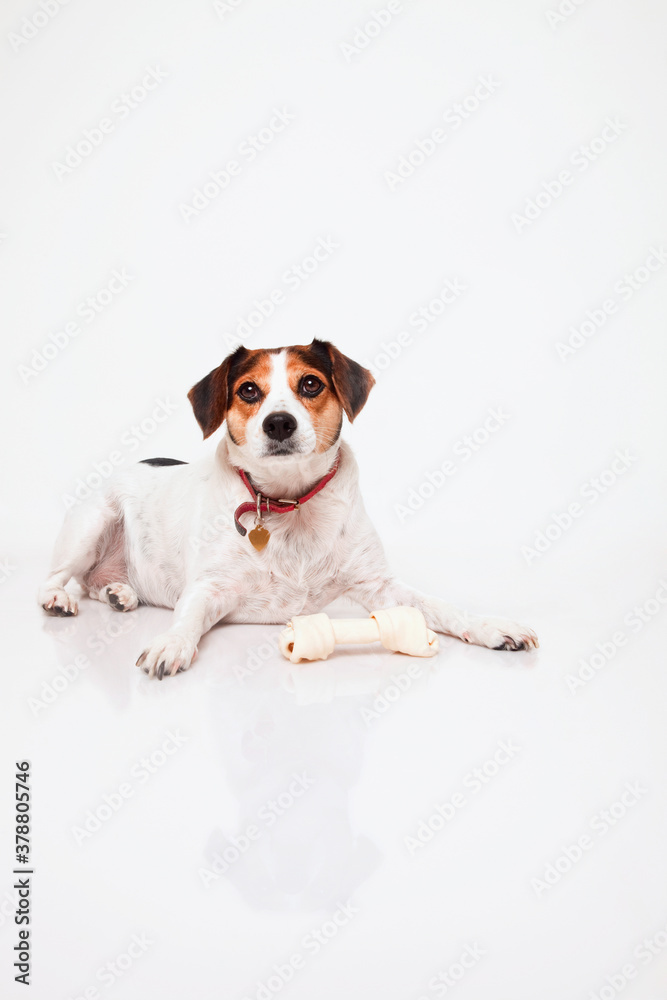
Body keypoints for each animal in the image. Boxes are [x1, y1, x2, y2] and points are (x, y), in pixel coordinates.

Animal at [37, 342, 536, 680]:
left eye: (310, 383)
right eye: (248, 391)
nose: (279, 423)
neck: (289, 501)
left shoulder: (381, 586)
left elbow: (443, 607)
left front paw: (492, 626)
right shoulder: (208, 589)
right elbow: (186, 619)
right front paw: (171, 644)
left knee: (94, 583)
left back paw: (118, 592)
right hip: (92, 522)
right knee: (59, 578)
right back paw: (59, 599)